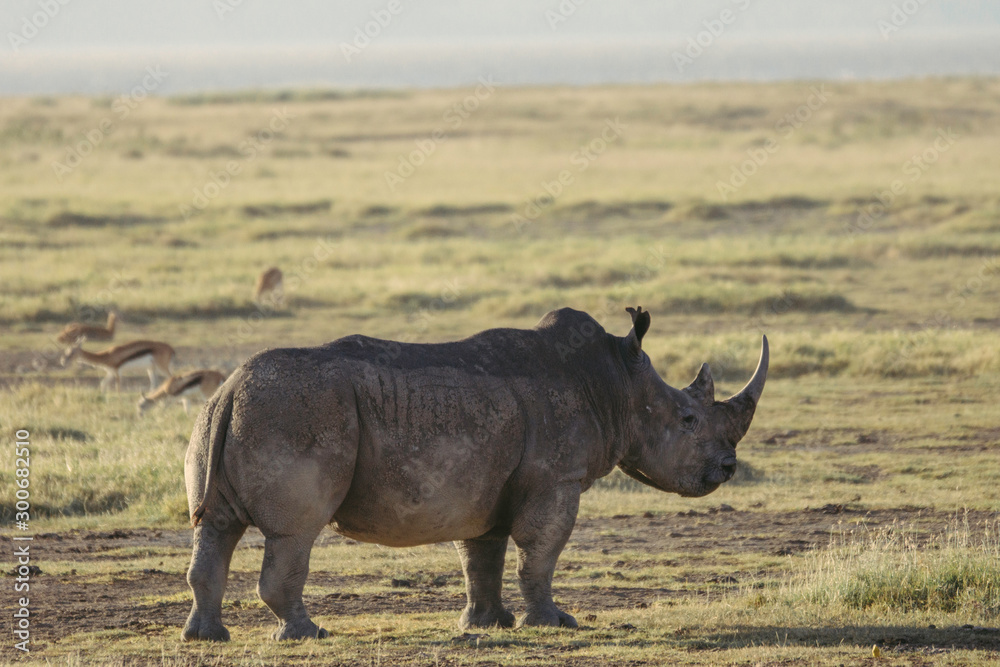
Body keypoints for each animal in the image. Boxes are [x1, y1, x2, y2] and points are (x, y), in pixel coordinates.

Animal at [182, 307, 767, 641]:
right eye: (688, 420)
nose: (728, 467)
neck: (616, 385)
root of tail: (232, 387)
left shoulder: (484, 483)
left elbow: (481, 555)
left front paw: (488, 625)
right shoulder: (556, 478)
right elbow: (540, 552)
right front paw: (553, 624)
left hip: (227, 415)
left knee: (215, 528)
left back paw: (207, 638)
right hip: (294, 414)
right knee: (295, 532)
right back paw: (309, 635)